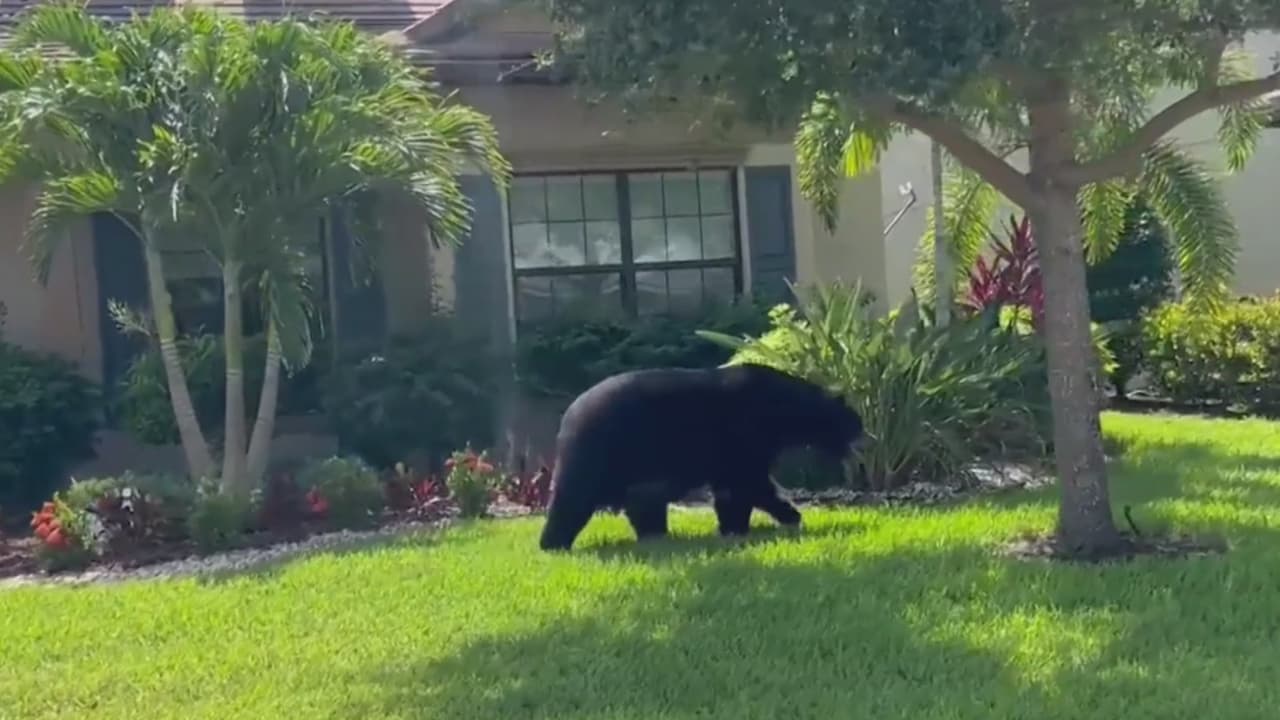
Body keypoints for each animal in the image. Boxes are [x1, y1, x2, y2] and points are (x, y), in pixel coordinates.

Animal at [538, 362, 864, 551]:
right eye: (854, 419)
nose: (865, 436)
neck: (785, 410)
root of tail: (567, 417)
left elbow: (732, 488)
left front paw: (734, 528)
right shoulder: (746, 431)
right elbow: (749, 482)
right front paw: (790, 515)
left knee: (643, 501)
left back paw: (655, 536)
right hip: (603, 452)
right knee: (574, 499)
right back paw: (553, 543)